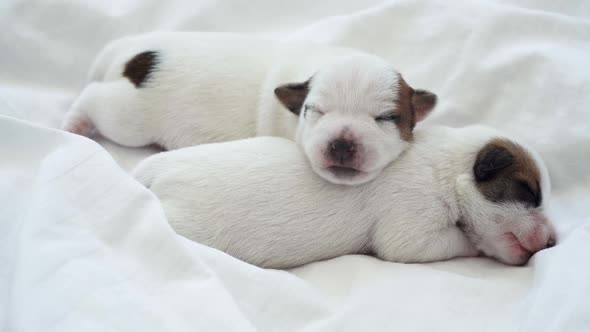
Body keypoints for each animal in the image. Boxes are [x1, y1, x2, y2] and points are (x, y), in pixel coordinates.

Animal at [62, 31, 438, 185]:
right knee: (94, 98)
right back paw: (74, 125)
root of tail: (132, 48)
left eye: (387, 118)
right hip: (130, 118)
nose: (342, 144)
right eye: (314, 111)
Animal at [134, 126, 560, 268]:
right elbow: (448, 241)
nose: (553, 241)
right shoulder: (413, 226)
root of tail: (152, 170)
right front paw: (473, 245)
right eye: (528, 191)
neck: (446, 166)